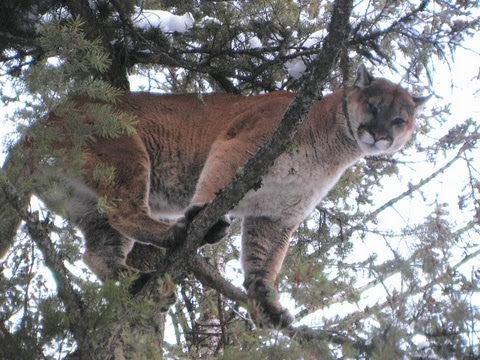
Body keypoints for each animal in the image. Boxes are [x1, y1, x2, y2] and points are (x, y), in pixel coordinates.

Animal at [0, 64, 428, 326]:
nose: (380, 135)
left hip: (86, 201)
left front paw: (266, 304)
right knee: (124, 212)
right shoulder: (241, 145)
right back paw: (175, 236)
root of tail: (39, 124)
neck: (333, 150)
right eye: (373, 105)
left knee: (96, 251)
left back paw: (135, 281)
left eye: (400, 119)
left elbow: (264, 262)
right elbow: (214, 182)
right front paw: (199, 215)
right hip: (123, 151)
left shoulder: (275, 217)